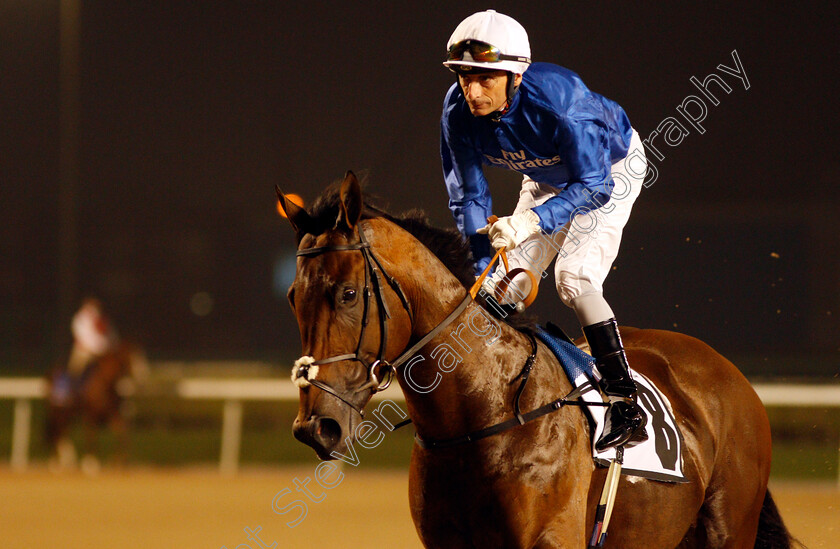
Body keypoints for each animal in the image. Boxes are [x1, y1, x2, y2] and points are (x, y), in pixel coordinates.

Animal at [44, 338, 148, 470]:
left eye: (142, 357)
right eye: (132, 358)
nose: (143, 378)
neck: (104, 383)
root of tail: (51, 371)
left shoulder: (114, 415)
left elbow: (121, 433)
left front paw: (118, 460)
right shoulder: (90, 415)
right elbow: (92, 436)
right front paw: (90, 463)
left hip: (68, 412)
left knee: (63, 431)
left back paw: (67, 461)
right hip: (57, 410)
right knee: (57, 430)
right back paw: (55, 462)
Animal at [278, 172, 796, 548]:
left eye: (348, 294)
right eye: (292, 296)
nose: (315, 427)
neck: (480, 413)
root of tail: (726, 371)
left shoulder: (551, 538)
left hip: (729, 529)